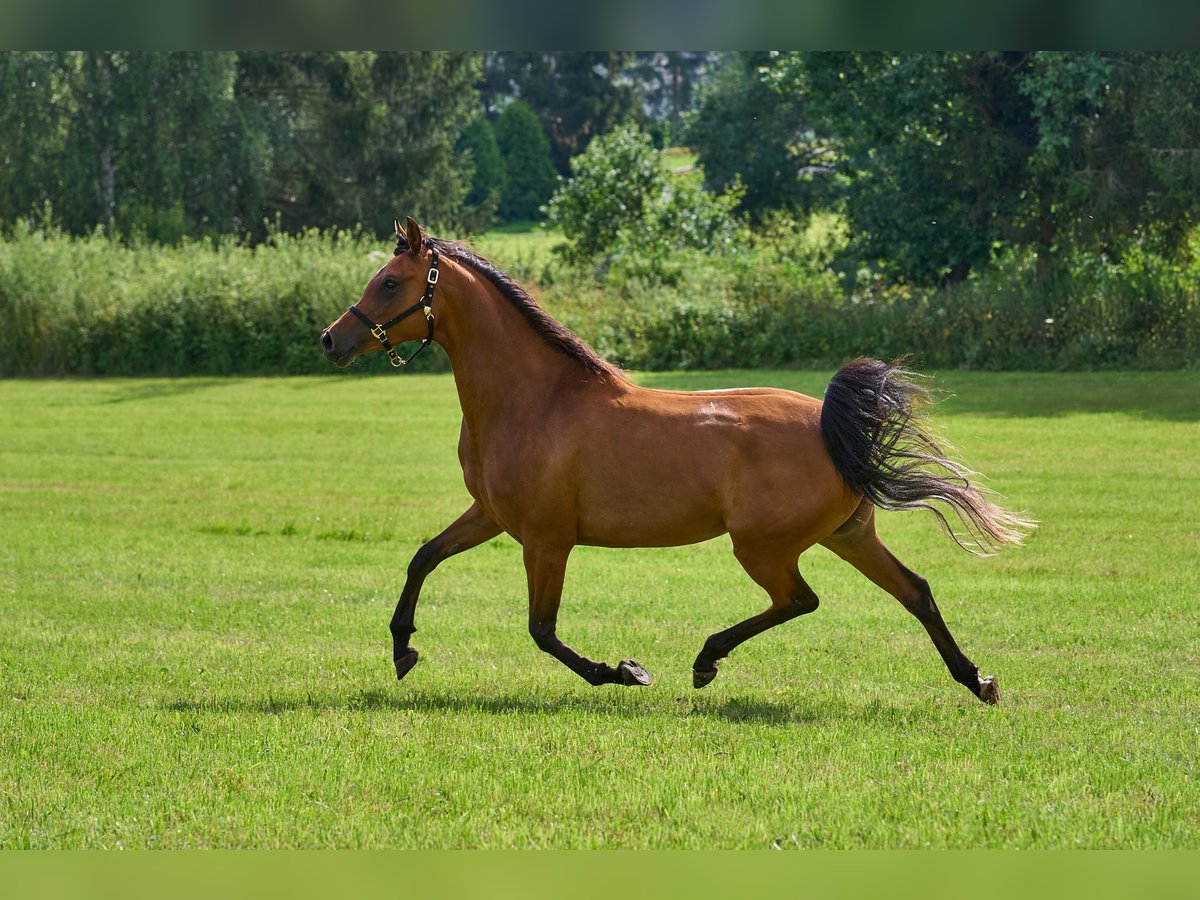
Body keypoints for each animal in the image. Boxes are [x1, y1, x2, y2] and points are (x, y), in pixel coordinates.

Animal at [320, 218, 1032, 704]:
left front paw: (624, 671)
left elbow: (542, 629)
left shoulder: (546, 540)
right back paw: (978, 680)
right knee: (915, 591)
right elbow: (423, 557)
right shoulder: (491, 515)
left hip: (763, 546)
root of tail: (833, 426)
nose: (331, 339)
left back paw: (706, 659)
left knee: (801, 600)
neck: (535, 400)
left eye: (389, 282)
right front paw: (403, 648)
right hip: (847, 534)